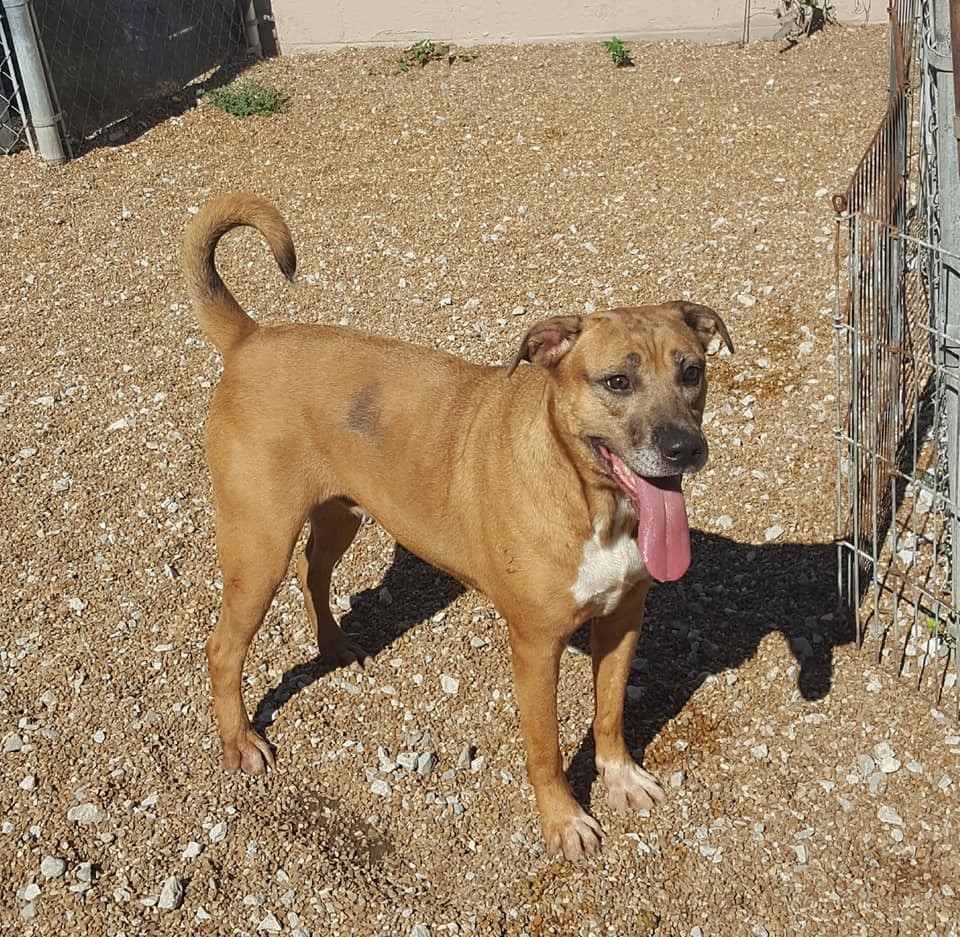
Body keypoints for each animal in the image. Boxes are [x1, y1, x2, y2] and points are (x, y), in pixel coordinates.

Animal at [184, 194, 732, 860]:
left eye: (692, 371)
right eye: (617, 382)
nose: (685, 449)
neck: (591, 502)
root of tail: (251, 338)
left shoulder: (625, 617)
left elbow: (609, 713)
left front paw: (620, 777)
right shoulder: (536, 646)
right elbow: (545, 748)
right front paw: (563, 821)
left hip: (341, 513)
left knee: (313, 574)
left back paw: (335, 646)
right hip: (257, 543)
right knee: (223, 647)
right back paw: (239, 740)